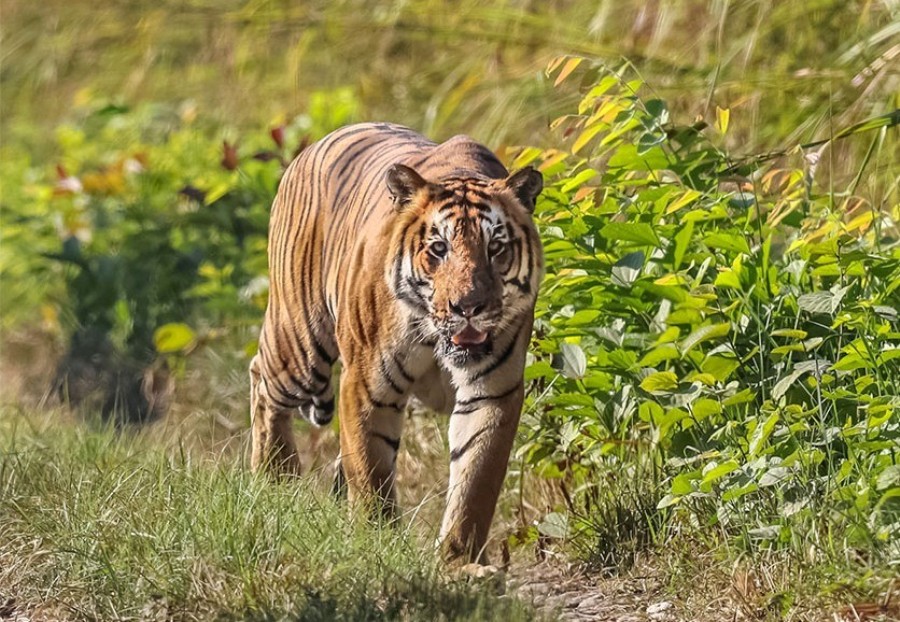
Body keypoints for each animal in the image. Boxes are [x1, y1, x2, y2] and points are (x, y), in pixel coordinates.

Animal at [248, 122, 540, 564]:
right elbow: (370, 472)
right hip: (300, 349)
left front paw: (459, 561)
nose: (468, 307)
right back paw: (274, 480)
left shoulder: (492, 390)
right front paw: (375, 543)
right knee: (262, 380)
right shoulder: (367, 385)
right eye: (439, 248)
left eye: (495, 247)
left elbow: (476, 479)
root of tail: (307, 151)